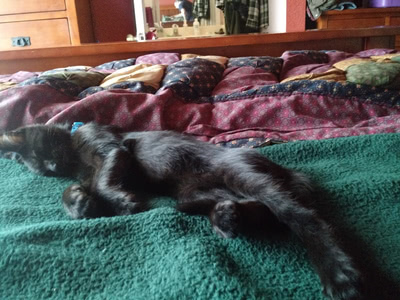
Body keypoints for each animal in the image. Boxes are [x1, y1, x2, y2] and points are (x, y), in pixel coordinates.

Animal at [0, 123, 362, 298]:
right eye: (40, 168)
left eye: (42, 151)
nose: (50, 166)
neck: (75, 157)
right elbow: (77, 191)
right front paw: (77, 202)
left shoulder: (112, 150)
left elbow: (104, 180)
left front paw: (123, 202)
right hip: (191, 194)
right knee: (261, 211)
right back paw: (227, 217)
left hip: (239, 173)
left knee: (298, 214)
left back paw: (338, 272)